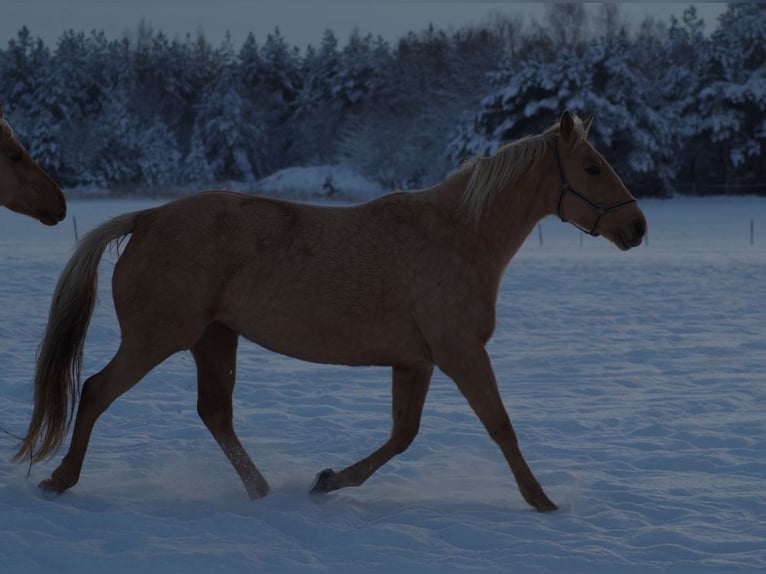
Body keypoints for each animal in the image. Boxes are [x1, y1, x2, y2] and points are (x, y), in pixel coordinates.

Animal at [15, 111, 648, 512]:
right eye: (593, 168)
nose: (637, 227)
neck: (458, 237)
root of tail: (144, 217)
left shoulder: (415, 362)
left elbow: (402, 436)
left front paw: (326, 481)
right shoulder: (461, 353)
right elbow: (500, 426)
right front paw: (541, 500)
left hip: (214, 338)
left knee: (214, 413)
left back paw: (264, 491)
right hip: (158, 337)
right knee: (96, 390)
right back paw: (59, 480)